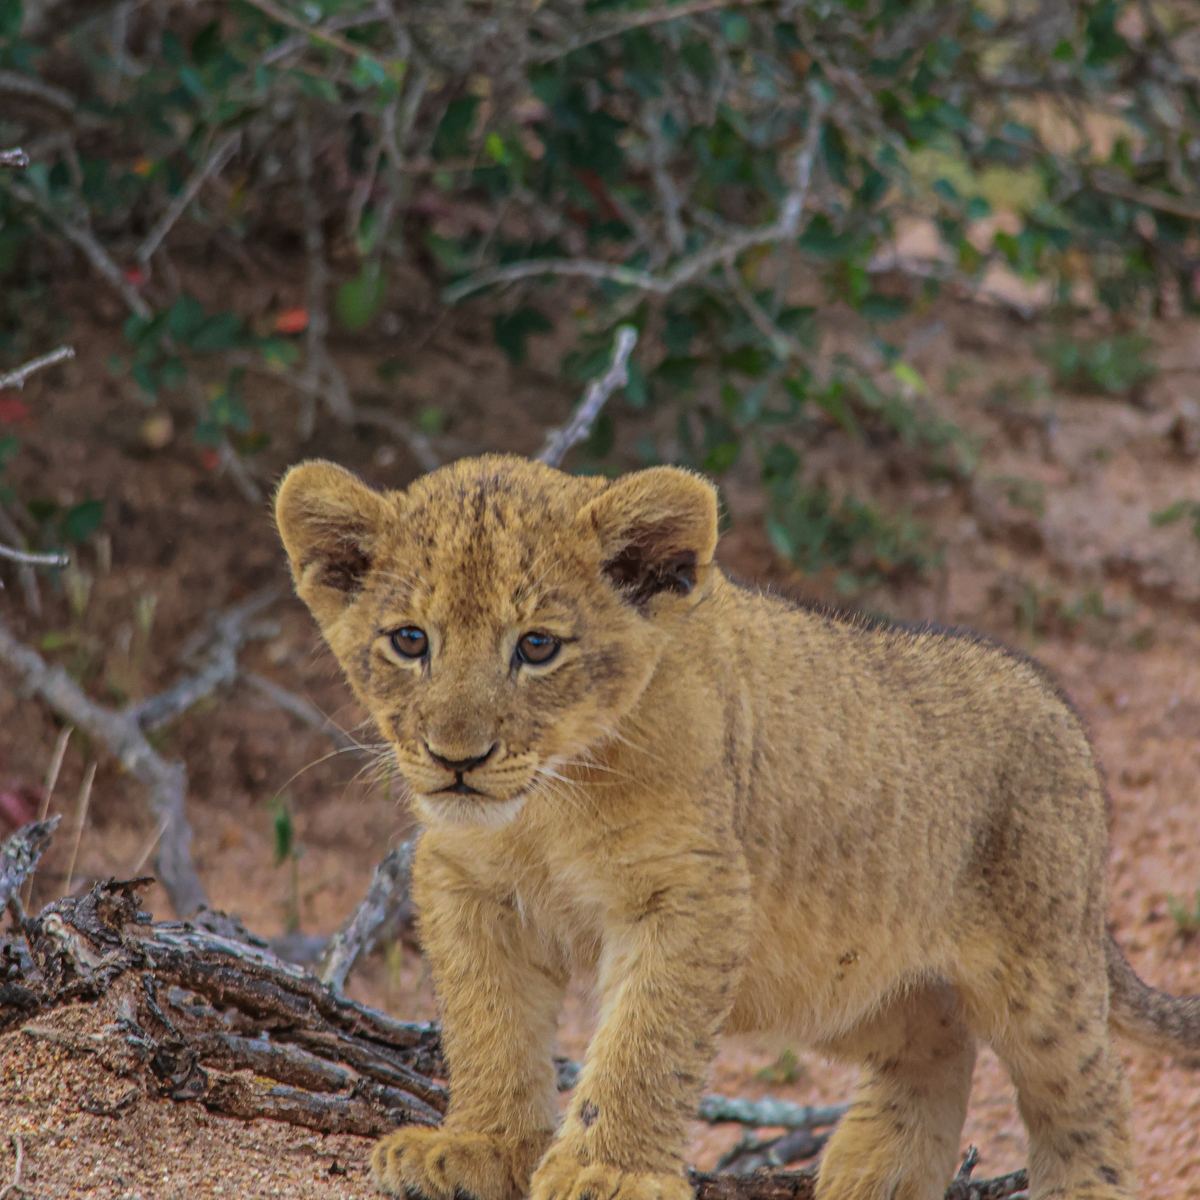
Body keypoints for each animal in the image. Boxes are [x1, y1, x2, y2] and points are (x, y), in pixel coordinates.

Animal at [275, 454, 1198, 1200]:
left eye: (537, 646)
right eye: (409, 640)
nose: (456, 758)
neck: (546, 806)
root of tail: (1057, 704)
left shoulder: (692, 891)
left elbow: (644, 1041)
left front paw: (607, 1173)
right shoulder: (467, 885)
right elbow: (487, 1025)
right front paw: (476, 1148)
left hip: (1038, 970)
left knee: (1088, 1089)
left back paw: (1075, 1185)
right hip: (848, 972)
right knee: (935, 1052)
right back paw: (867, 1177)